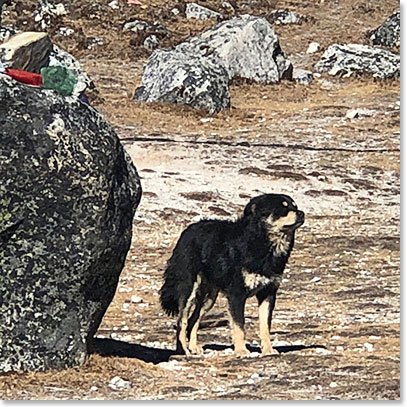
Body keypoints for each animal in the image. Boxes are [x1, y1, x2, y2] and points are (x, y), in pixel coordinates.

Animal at [161, 194, 304, 356]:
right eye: (283, 208)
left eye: (295, 206)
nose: (301, 213)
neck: (263, 242)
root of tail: (188, 230)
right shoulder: (237, 294)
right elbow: (239, 326)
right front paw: (241, 351)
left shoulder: (268, 293)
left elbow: (265, 327)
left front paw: (268, 350)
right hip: (189, 289)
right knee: (182, 321)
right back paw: (183, 350)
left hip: (209, 297)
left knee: (193, 319)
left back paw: (193, 347)